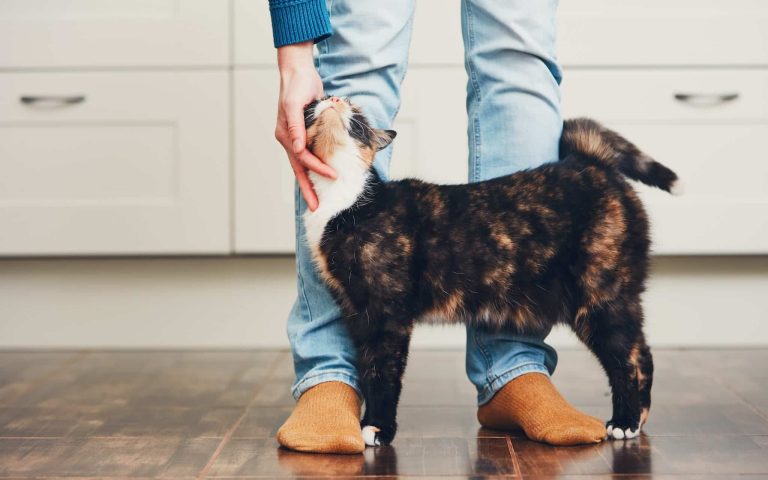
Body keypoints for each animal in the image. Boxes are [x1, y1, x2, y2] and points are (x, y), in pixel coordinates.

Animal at [300, 95, 680, 448]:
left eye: (357, 113)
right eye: (316, 102)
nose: (334, 98)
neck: (345, 200)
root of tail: (588, 162)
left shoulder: (387, 314)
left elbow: (383, 373)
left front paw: (378, 428)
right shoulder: (357, 312)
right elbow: (367, 368)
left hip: (601, 297)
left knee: (631, 358)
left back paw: (625, 422)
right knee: (639, 353)